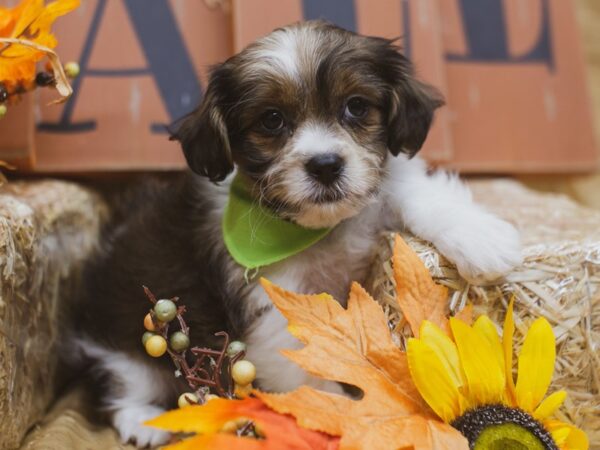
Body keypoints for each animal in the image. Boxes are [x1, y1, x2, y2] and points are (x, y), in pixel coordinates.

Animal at [75, 20, 524, 446]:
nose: (325, 165)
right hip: (122, 336)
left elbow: (413, 189)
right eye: (272, 119)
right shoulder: (271, 304)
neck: (320, 229)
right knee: (120, 382)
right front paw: (336, 418)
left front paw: (482, 238)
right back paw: (142, 421)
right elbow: (305, 369)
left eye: (356, 107)